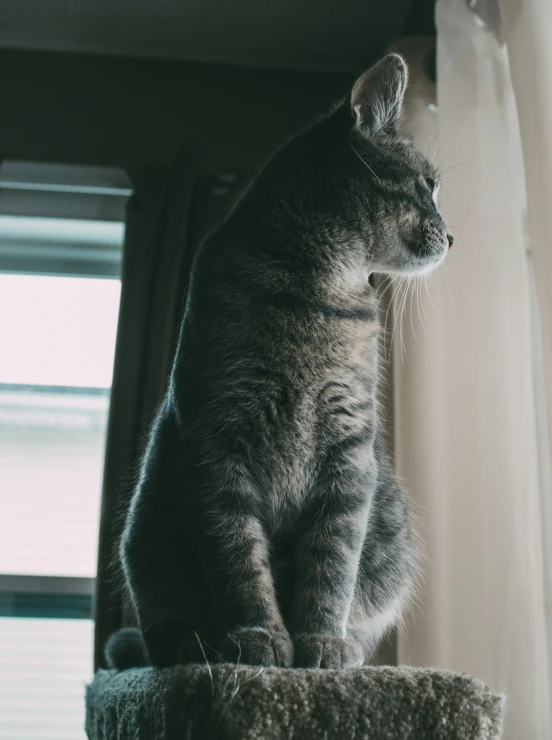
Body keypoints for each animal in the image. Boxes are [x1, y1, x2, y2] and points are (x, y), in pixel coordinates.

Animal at [105, 55, 450, 672]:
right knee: (160, 638)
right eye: (430, 185)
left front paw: (319, 644)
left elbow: (332, 563)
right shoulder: (217, 440)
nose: (453, 235)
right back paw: (198, 646)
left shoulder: (349, 450)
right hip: (147, 541)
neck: (317, 291)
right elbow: (239, 560)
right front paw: (258, 637)